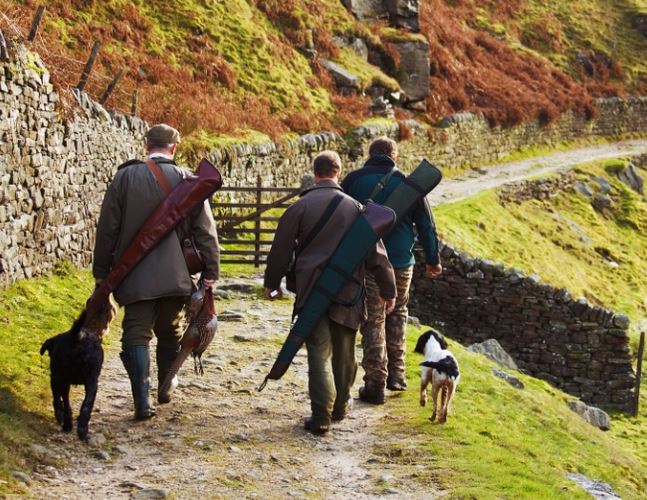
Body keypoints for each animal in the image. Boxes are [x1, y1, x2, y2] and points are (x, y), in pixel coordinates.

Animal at [40, 302, 114, 440]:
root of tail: (77, 336)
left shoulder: (55, 378)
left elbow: (57, 399)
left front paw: (59, 415)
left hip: (61, 378)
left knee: (66, 403)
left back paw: (67, 424)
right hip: (91, 382)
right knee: (86, 406)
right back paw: (82, 429)